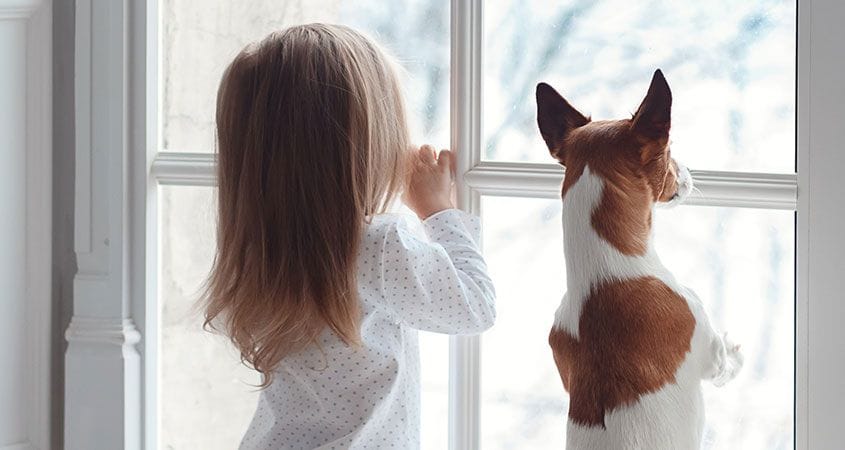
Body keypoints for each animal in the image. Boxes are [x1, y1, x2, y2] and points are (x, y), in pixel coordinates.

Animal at [536, 68, 740, 448]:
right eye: (671, 150)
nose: (687, 170)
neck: (603, 275)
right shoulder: (708, 349)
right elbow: (726, 364)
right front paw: (735, 350)